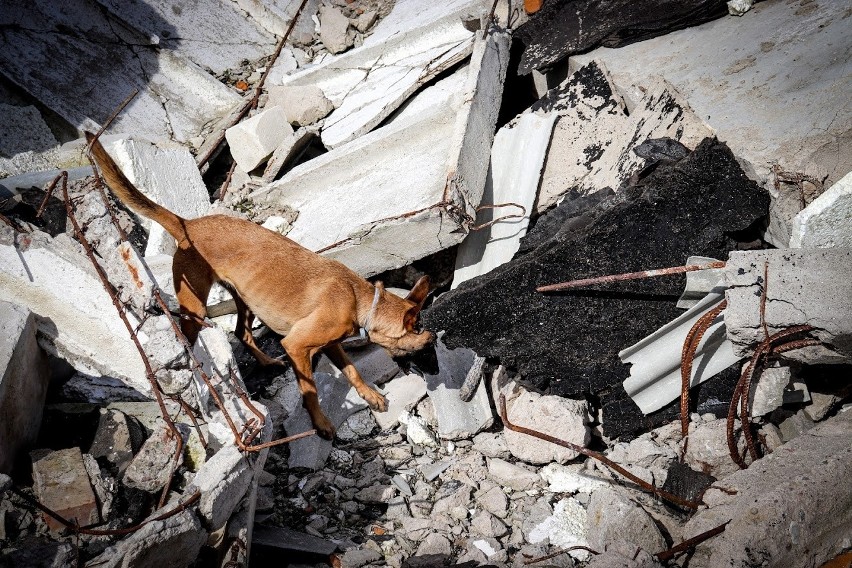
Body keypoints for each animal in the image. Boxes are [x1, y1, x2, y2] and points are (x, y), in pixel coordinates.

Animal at [87, 133, 436, 440]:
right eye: (417, 327)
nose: (433, 337)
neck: (359, 299)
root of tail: (187, 224)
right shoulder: (298, 345)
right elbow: (310, 391)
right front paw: (321, 424)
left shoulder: (330, 343)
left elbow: (352, 370)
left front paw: (370, 396)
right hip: (195, 308)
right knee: (193, 343)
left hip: (245, 299)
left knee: (242, 332)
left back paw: (267, 362)